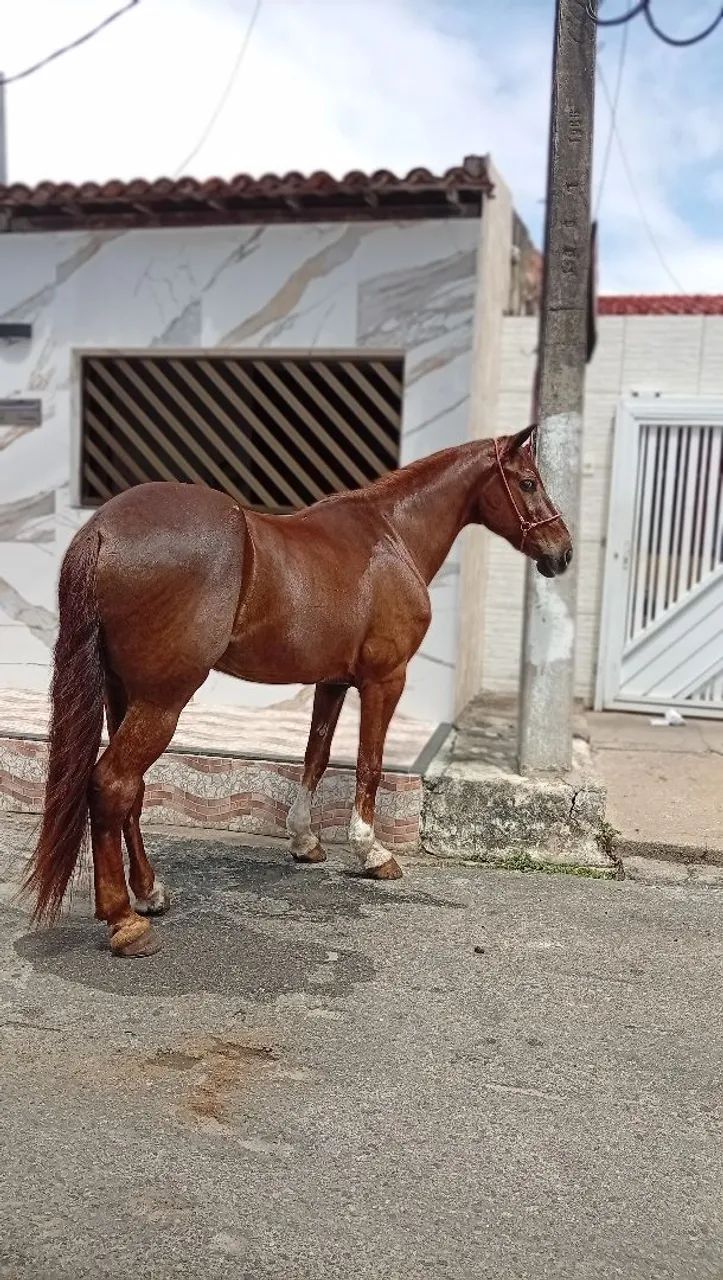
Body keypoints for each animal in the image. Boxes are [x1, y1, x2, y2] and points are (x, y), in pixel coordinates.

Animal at [23, 424, 572, 957]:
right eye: (529, 482)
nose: (562, 553)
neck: (392, 534)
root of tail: (102, 529)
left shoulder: (331, 681)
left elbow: (316, 756)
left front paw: (304, 840)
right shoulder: (385, 680)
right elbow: (370, 765)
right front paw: (373, 852)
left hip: (125, 694)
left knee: (130, 792)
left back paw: (149, 892)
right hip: (162, 702)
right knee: (112, 784)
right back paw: (125, 922)